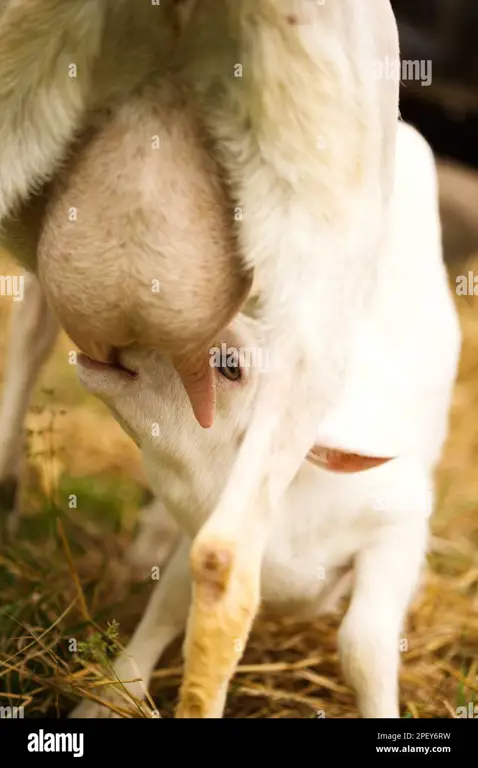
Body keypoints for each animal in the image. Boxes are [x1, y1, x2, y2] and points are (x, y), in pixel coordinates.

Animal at [73, 121, 462, 720]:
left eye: (230, 365)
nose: (122, 330)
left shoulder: (396, 525)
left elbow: (364, 644)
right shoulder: (210, 534)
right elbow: (169, 609)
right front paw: (110, 697)